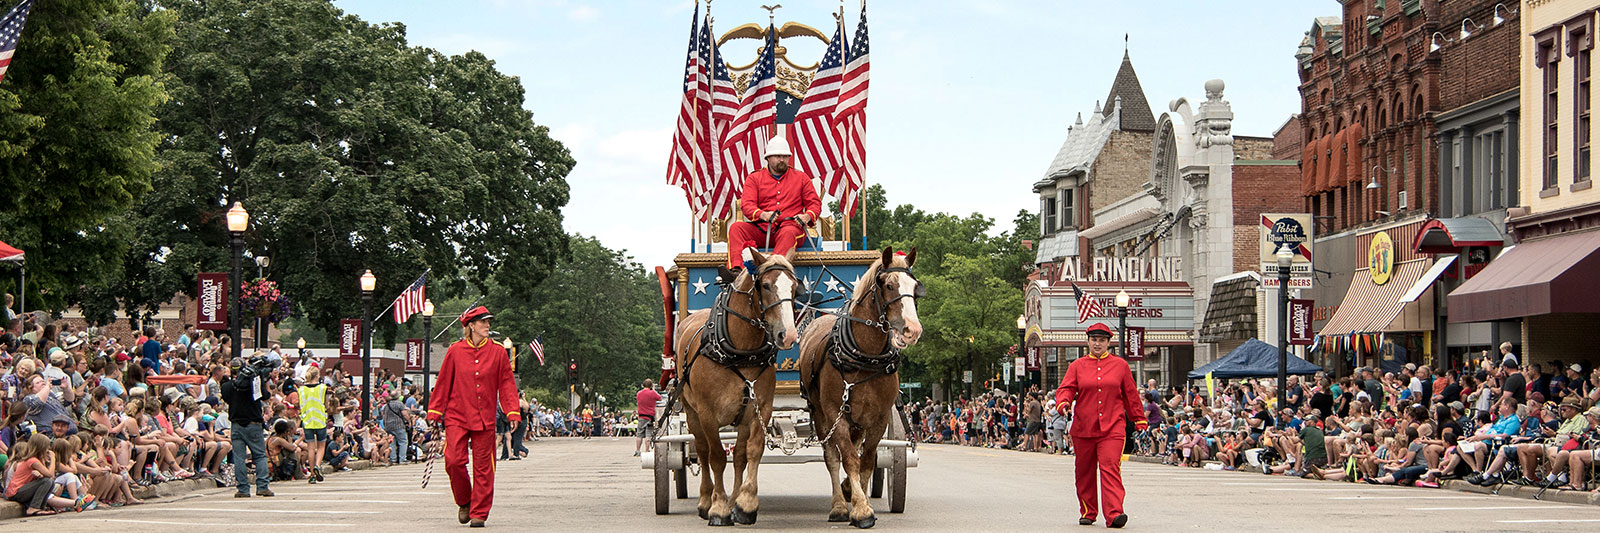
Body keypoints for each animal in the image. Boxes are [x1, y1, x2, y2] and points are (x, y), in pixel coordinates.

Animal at [672, 251, 800, 524]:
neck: (742, 351)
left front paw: (745, 503)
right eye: (765, 285)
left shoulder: (760, 408)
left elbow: (751, 451)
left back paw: (733, 499)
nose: (788, 335)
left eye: (795, 288)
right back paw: (705, 500)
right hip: (691, 411)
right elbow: (717, 457)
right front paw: (718, 507)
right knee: (702, 450)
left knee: (739, 455)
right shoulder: (708, 414)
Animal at [796, 246, 928, 528]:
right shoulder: (835, 414)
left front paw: (862, 500)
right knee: (832, 458)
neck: (865, 356)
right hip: (821, 415)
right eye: (889, 285)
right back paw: (838, 505)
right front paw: (860, 510)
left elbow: (867, 460)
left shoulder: (878, 418)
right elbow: (848, 460)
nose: (912, 330)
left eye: (915, 287)